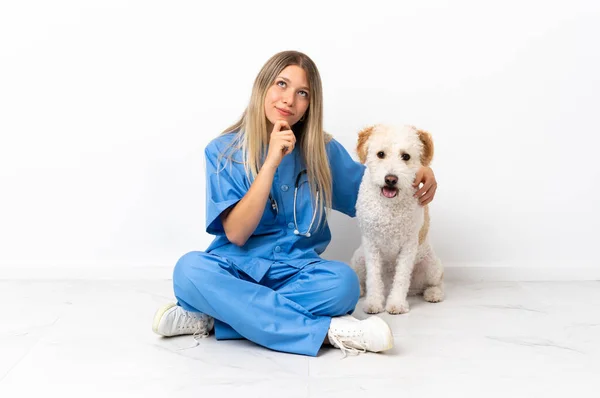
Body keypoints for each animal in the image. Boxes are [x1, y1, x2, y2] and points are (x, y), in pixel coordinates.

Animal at [350, 124, 442, 314]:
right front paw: (373, 302)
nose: (391, 179)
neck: (389, 206)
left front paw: (397, 304)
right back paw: (360, 289)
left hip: (431, 265)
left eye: (405, 156)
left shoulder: (408, 246)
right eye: (380, 154)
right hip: (359, 258)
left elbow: (401, 278)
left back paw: (433, 293)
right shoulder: (371, 245)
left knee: (434, 283)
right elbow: (373, 278)